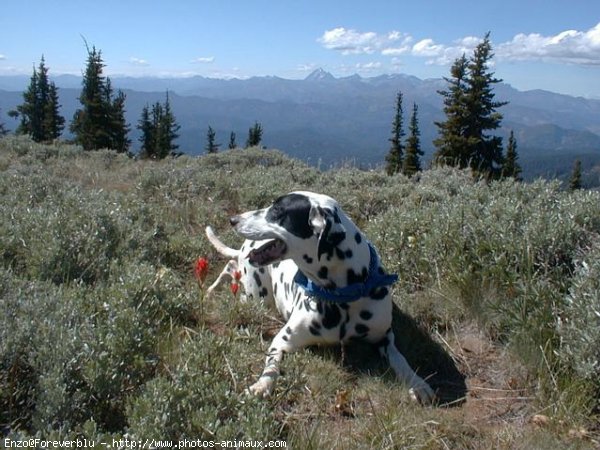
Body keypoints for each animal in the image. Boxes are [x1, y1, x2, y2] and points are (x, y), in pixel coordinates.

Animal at [204, 192, 434, 402]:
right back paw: (211, 290)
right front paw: (262, 384)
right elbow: (271, 366)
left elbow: (400, 359)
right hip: (257, 294)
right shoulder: (282, 340)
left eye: (277, 210)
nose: (234, 220)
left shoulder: (385, 337)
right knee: (232, 270)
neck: (343, 299)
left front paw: (418, 383)